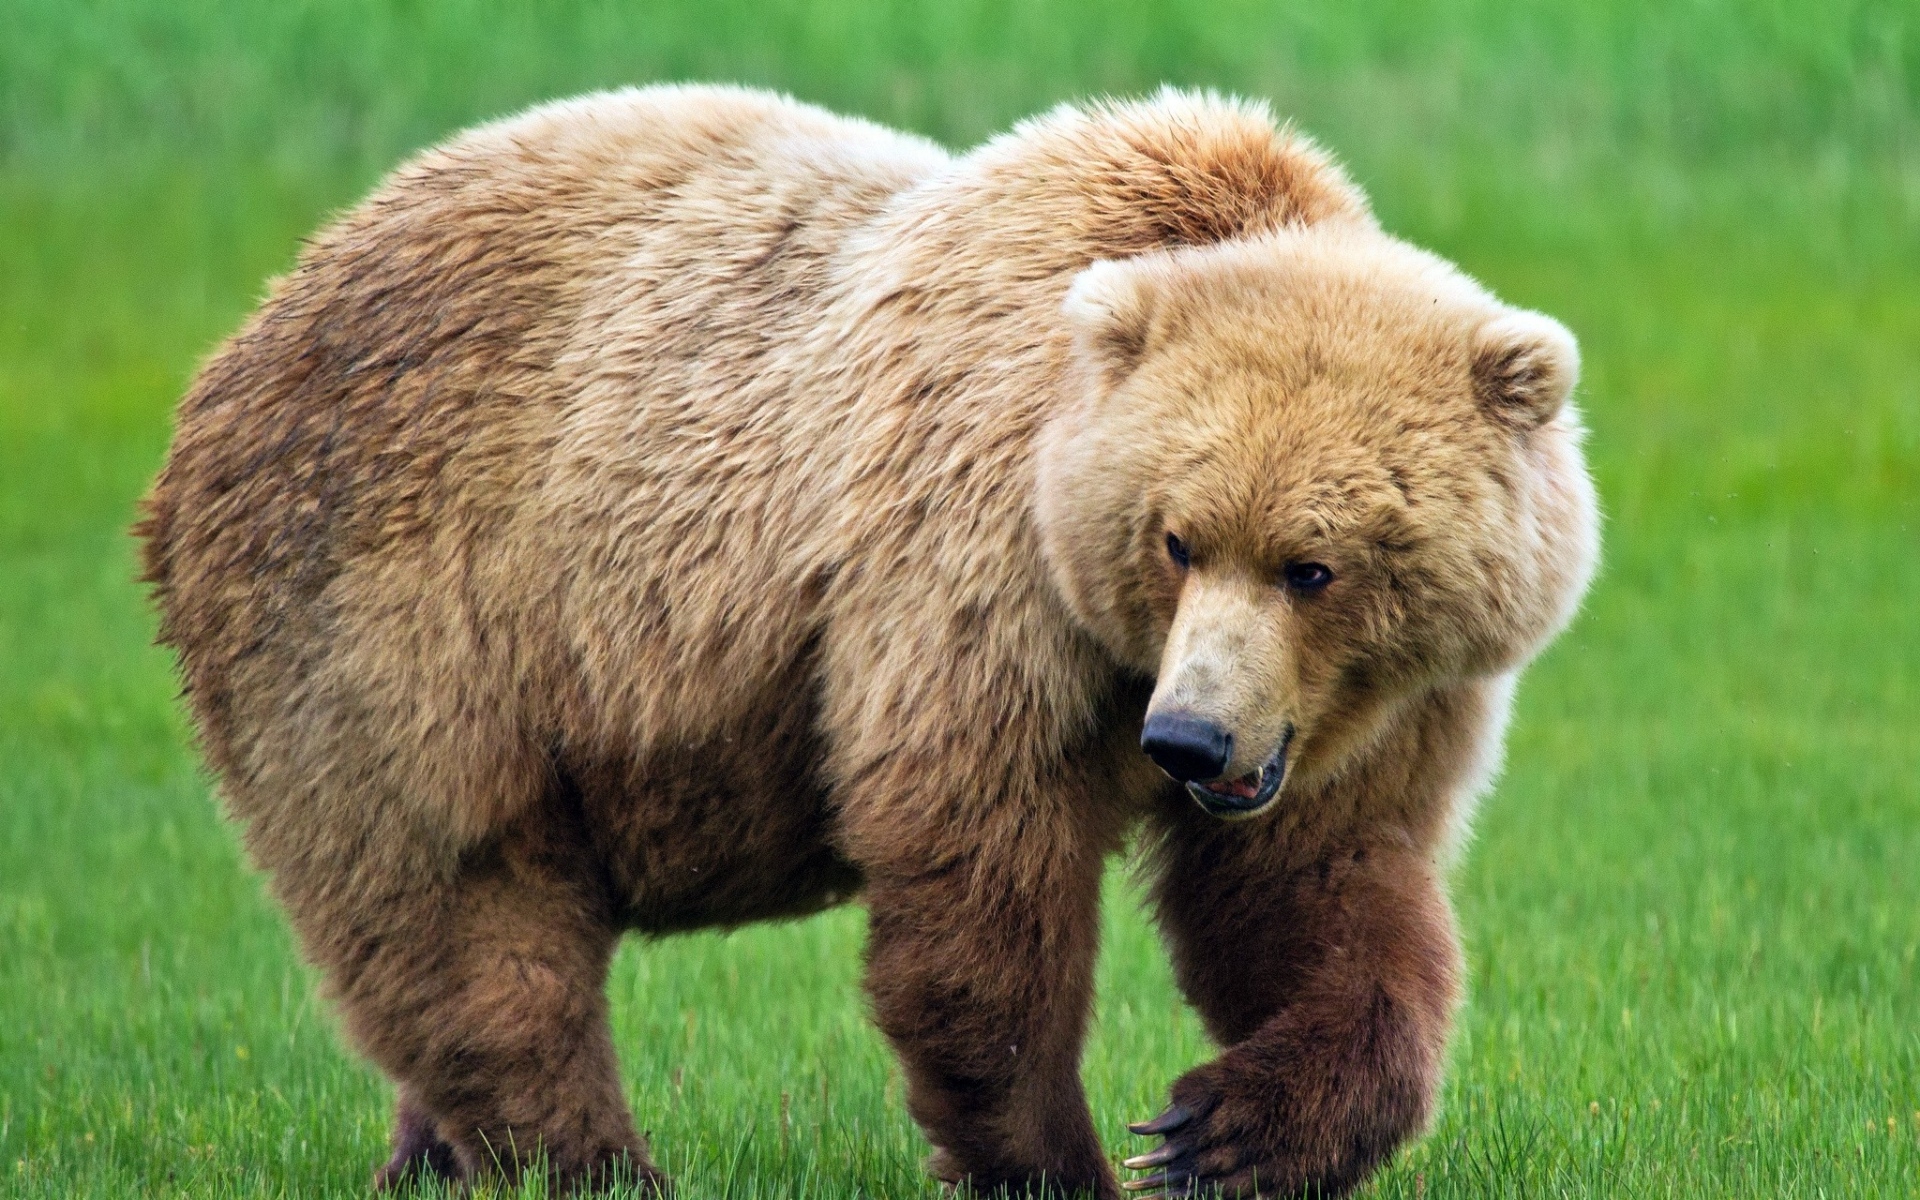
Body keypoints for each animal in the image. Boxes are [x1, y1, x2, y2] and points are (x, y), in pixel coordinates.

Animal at [137, 84, 1598, 1198]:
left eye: (1315, 565)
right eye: (1177, 538)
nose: (1185, 742)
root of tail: (255, 325)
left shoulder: (1372, 707)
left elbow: (1321, 892)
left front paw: (1222, 1129)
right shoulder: (975, 570)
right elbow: (976, 874)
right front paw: (1056, 1159)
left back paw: (429, 1159)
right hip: (403, 611)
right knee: (466, 907)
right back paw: (595, 1163)